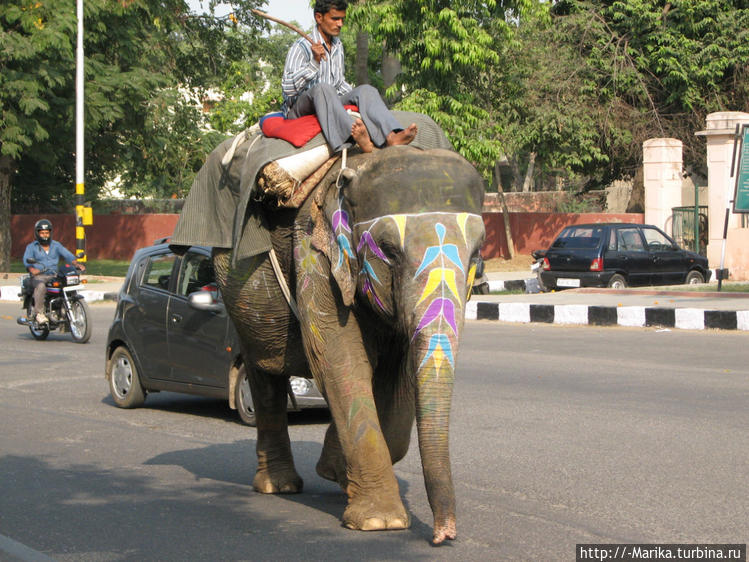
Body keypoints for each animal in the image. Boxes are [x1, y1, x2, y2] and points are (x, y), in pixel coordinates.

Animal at [210, 144, 486, 544]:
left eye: (477, 253)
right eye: (388, 250)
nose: (443, 536)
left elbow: (397, 375)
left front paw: (335, 471)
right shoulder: (312, 252)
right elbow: (339, 359)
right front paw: (380, 522)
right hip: (239, 292)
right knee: (264, 370)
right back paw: (278, 486)